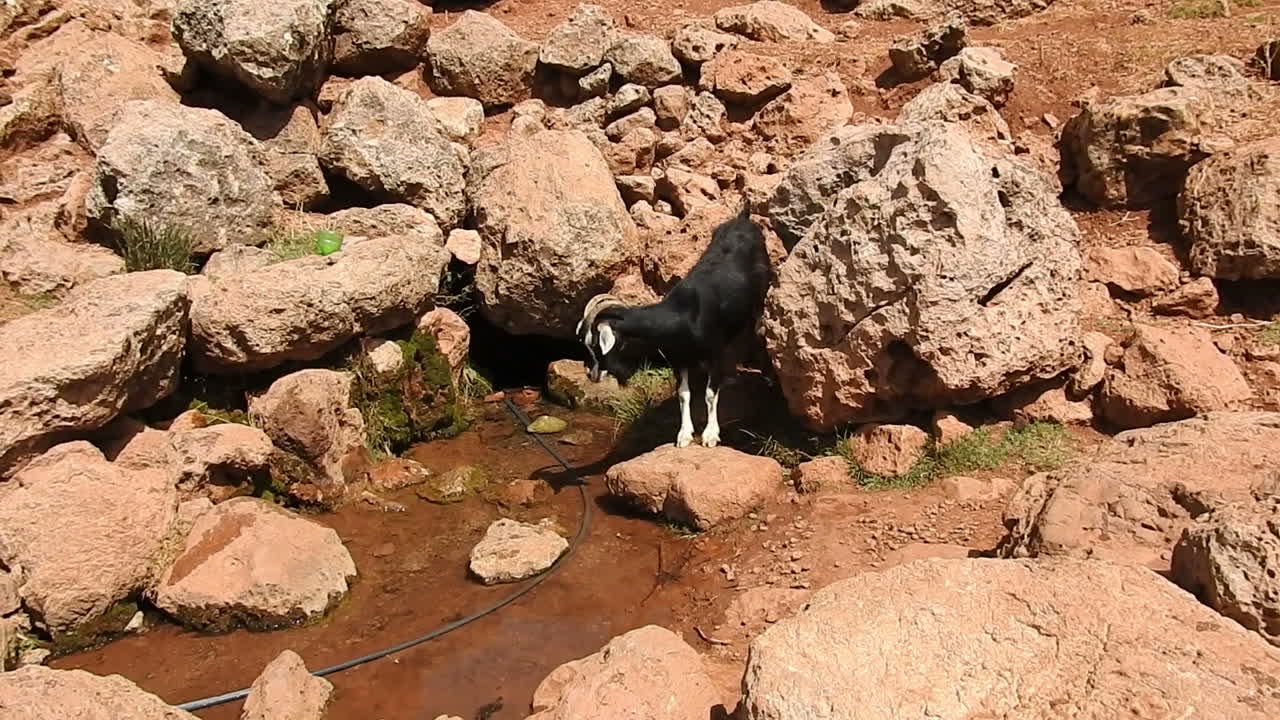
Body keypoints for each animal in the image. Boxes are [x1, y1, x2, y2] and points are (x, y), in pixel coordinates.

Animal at [576, 206, 772, 448]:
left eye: (596, 344)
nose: (591, 374)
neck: (685, 315)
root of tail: (743, 219)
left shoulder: (714, 352)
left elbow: (709, 393)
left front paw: (710, 435)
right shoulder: (680, 358)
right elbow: (683, 393)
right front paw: (684, 434)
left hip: (760, 295)